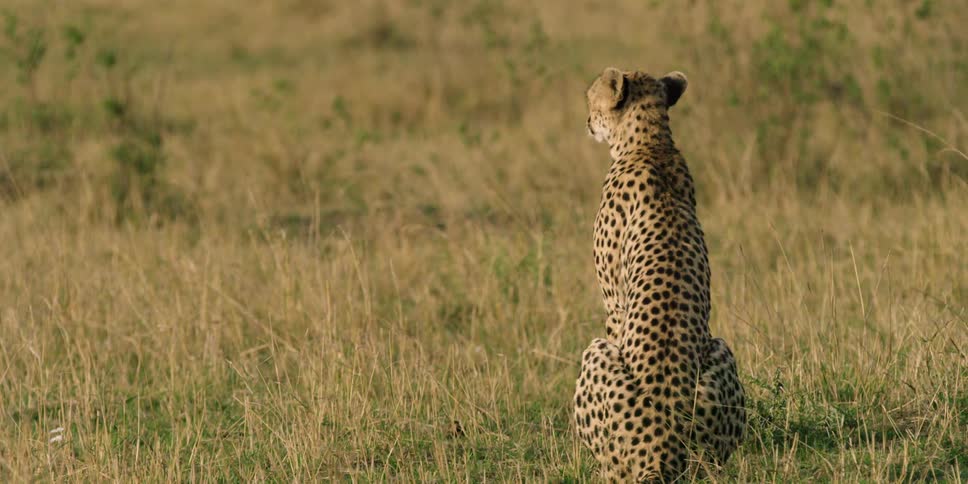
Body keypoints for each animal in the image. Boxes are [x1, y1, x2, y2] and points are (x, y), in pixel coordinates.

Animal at [573, 67, 746, 482]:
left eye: (591, 100)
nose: (586, 122)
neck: (650, 144)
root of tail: (660, 449)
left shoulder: (613, 304)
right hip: (720, 354)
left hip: (595, 353)